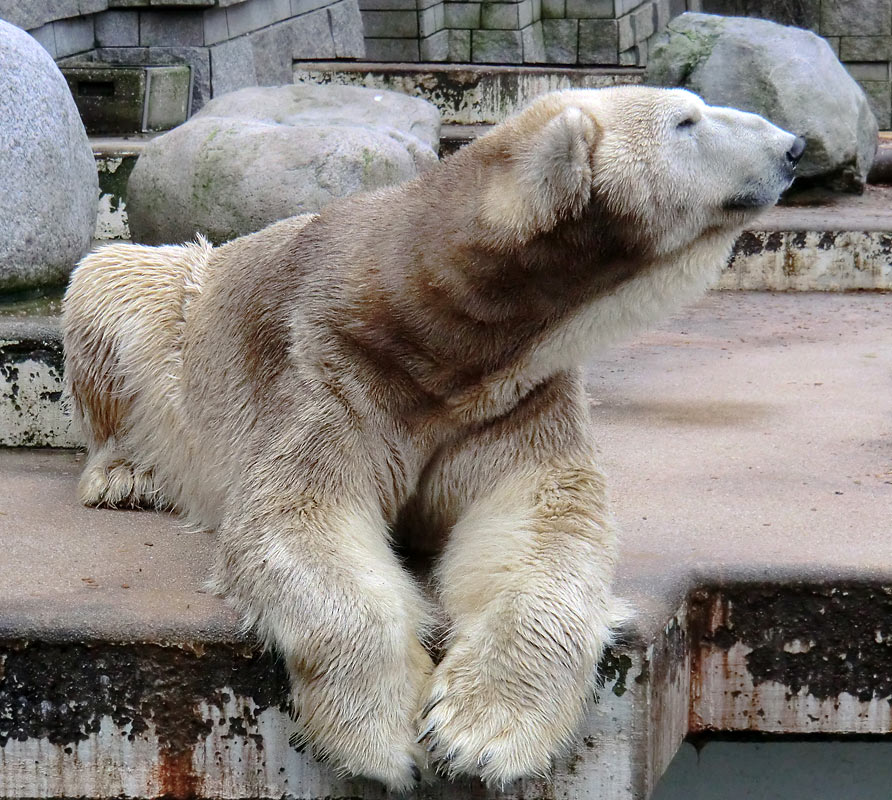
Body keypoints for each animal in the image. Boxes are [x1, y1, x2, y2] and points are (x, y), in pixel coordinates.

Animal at [62, 86, 800, 788]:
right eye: (687, 121)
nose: (793, 147)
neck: (433, 327)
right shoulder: (330, 369)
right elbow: (299, 518)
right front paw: (383, 737)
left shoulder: (513, 399)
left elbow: (541, 520)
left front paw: (480, 734)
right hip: (181, 308)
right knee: (113, 279)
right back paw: (127, 473)